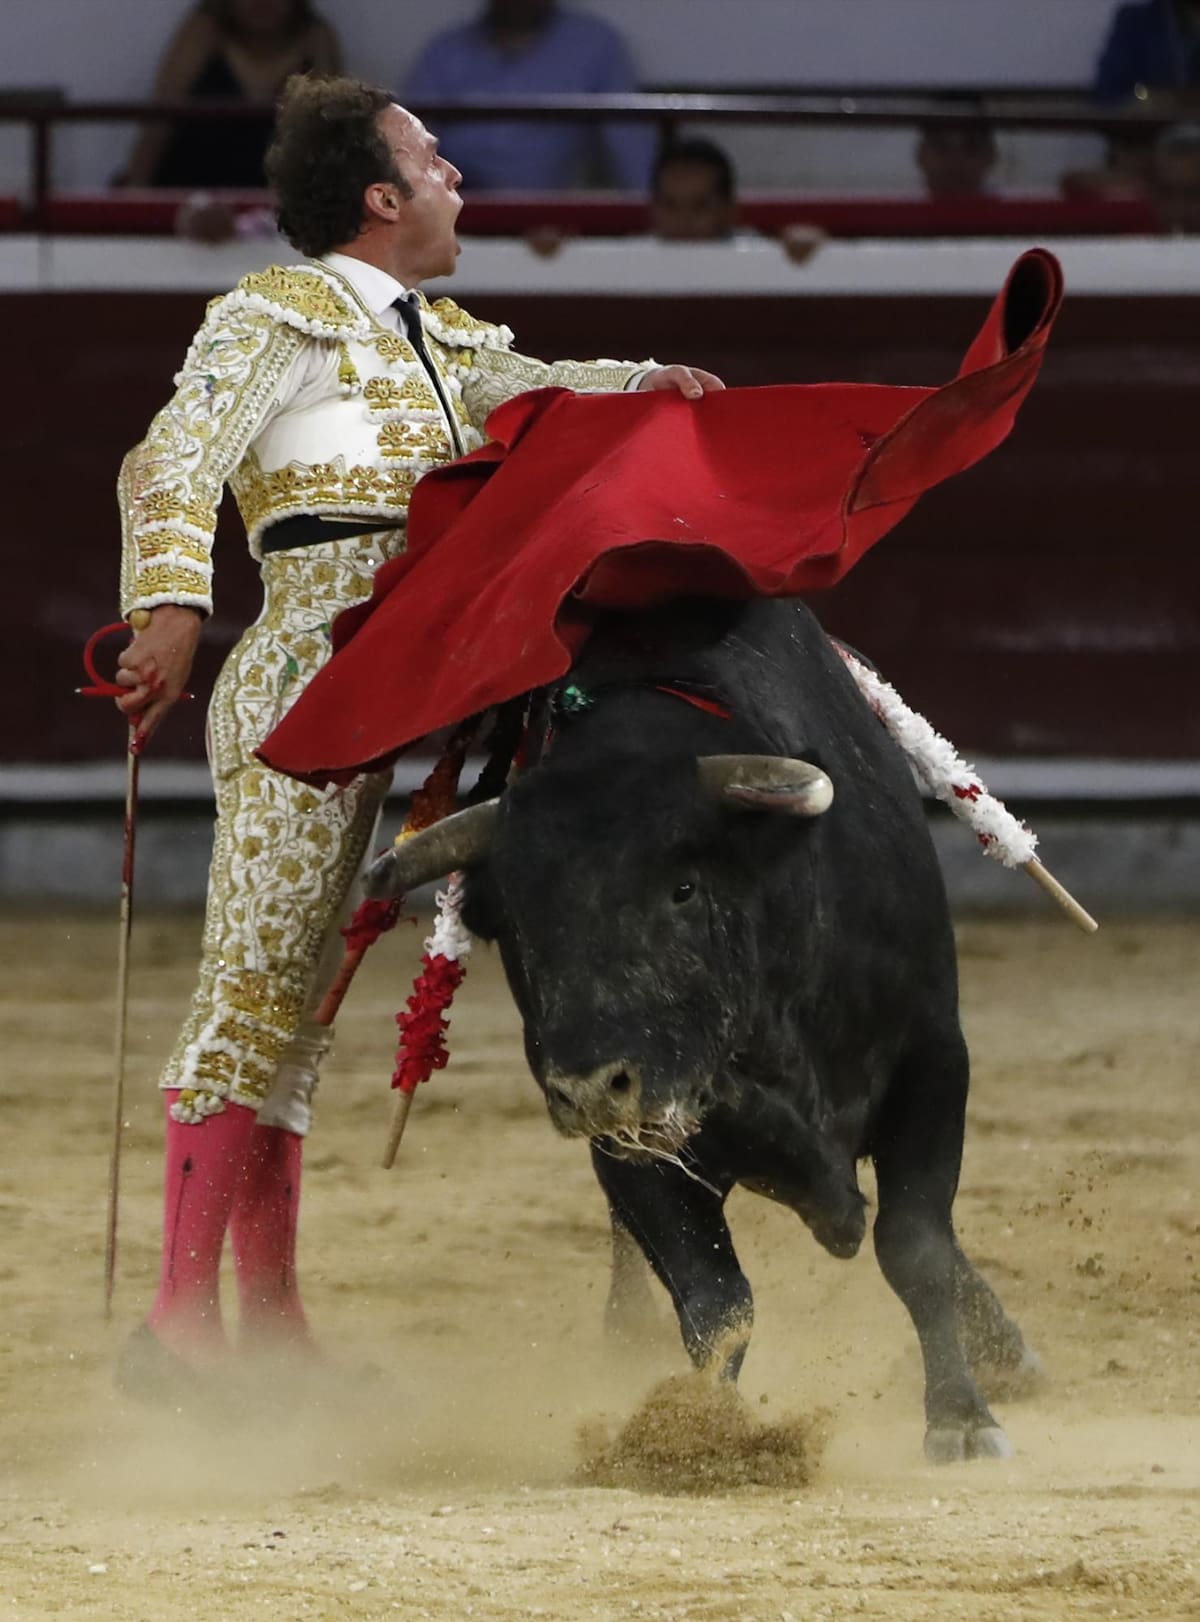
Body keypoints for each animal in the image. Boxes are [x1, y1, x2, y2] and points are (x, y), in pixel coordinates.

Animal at [366, 594, 1041, 1461]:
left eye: (684, 889)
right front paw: (701, 1436)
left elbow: (914, 1245)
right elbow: (715, 1301)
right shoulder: (634, 1148)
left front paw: (960, 1418)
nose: (594, 1089)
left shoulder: (932, 1062)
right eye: (516, 921)